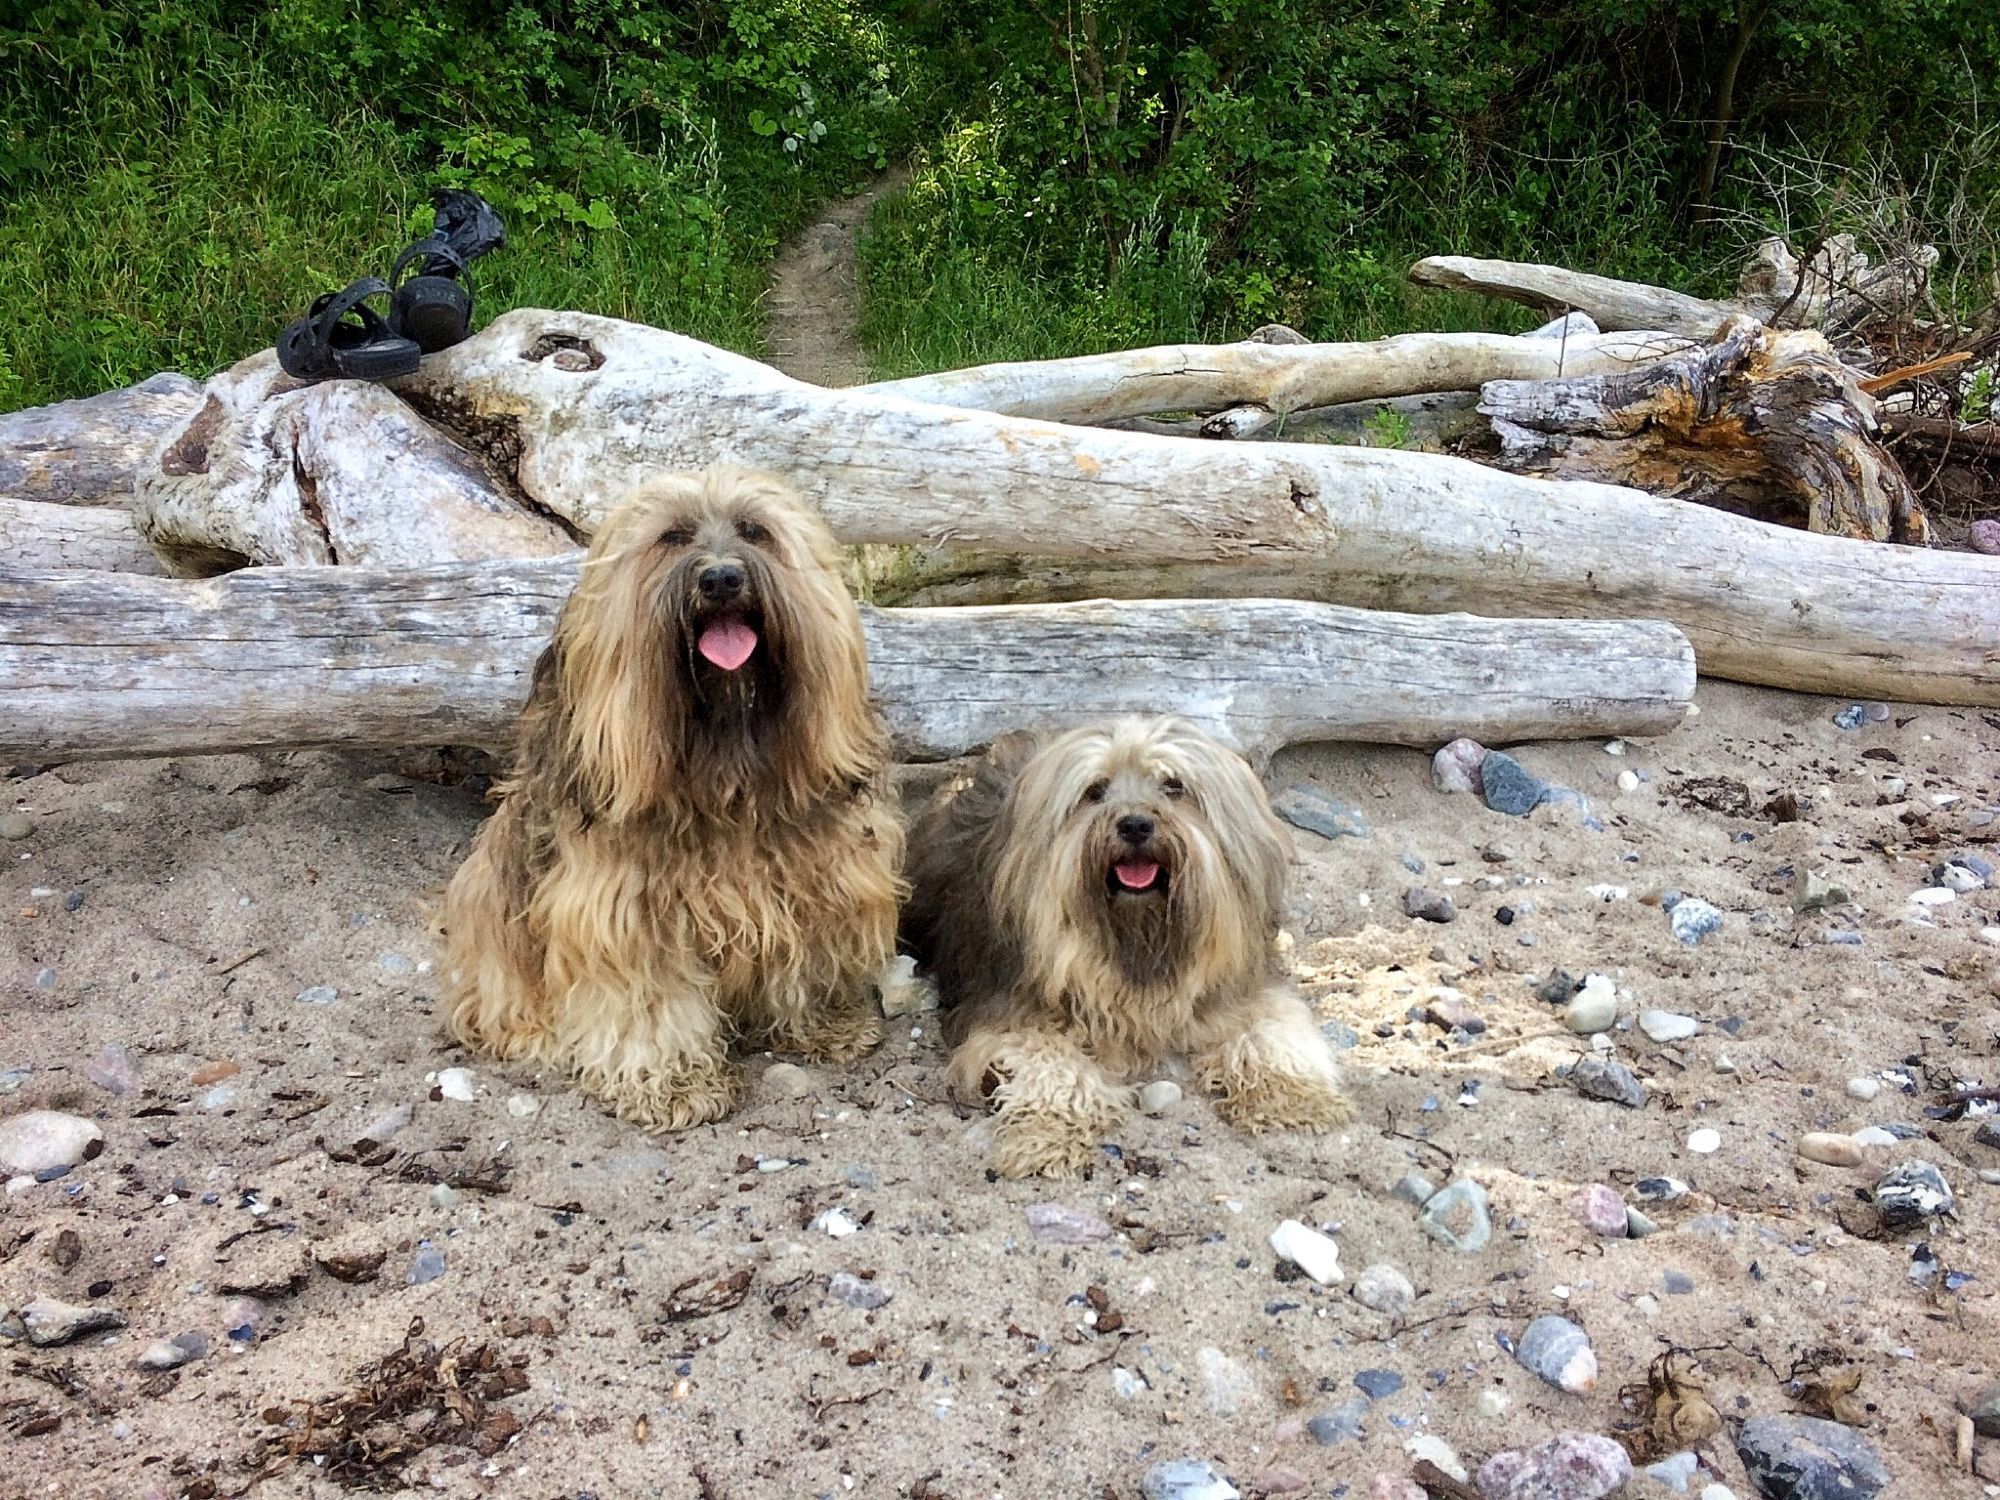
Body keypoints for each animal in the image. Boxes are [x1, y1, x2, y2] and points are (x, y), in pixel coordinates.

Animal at [450, 468, 904, 1128]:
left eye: (754, 531)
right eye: (671, 537)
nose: (720, 578)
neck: (725, 773)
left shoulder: (819, 880)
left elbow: (804, 952)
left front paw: (826, 1024)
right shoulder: (623, 912)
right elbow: (649, 1001)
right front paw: (672, 1083)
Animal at [904, 712, 1344, 1176]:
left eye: (1173, 786)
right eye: (1096, 791)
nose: (1134, 824)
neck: (1137, 938)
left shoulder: (1242, 990)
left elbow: (1272, 1033)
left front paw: (1297, 1099)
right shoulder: (1011, 1012)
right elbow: (1051, 1066)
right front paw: (1046, 1137)